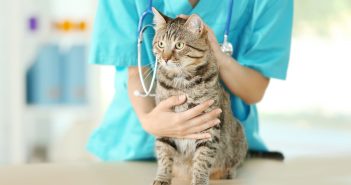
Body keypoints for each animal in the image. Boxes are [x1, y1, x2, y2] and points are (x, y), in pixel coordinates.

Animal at [151, 7, 248, 185]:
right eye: (161, 44)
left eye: (179, 45)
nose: (165, 58)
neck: (182, 83)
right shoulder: (165, 121)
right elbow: (164, 154)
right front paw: (162, 177)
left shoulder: (209, 126)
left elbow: (202, 159)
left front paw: (199, 180)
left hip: (239, 133)